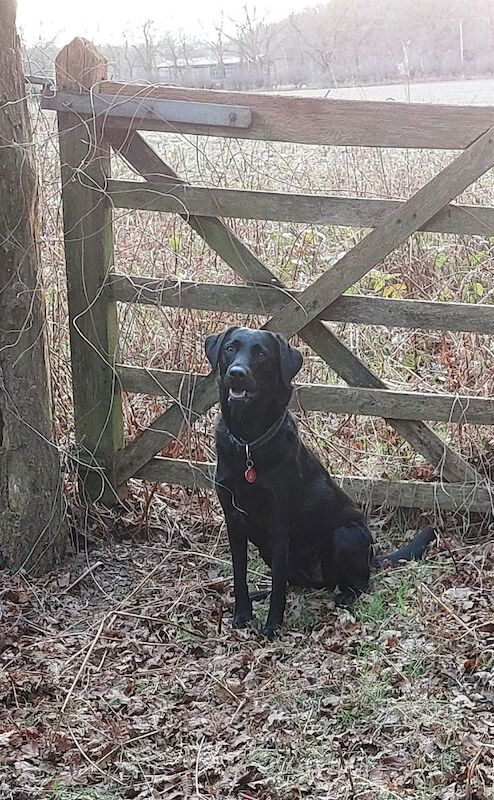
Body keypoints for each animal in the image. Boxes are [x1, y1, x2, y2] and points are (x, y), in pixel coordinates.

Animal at [206, 324, 434, 636]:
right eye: (230, 348)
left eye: (261, 354)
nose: (237, 373)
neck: (249, 443)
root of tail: (371, 557)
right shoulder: (233, 520)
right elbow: (239, 574)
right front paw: (243, 614)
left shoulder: (279, 524)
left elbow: (278, 586)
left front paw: (272, 626)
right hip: (269, 550)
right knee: (297, 582)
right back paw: (261, 593)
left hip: (344, 535)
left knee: (359, 584)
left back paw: (345, 595)